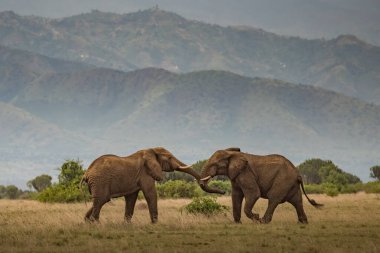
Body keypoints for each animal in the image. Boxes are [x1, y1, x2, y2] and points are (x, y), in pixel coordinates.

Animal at [80, 147, 223, 222]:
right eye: (169, 158)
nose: (223, 192)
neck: (151, 150)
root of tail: (86, 173)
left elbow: (131, 198)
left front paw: (127, 225)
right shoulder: (146, 174)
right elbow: (150, 194)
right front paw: (155, 224)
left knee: (101, 200)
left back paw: (87, 222)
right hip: (100, 181)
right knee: (102, 199)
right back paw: (95, 223)